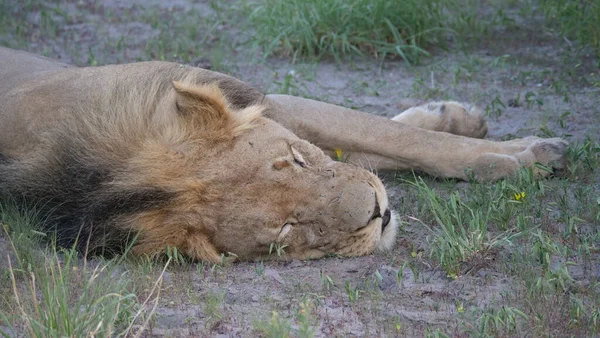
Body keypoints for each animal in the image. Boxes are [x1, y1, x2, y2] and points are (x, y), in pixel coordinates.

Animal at [0, 47, 568, 262]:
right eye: (286, 231)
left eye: (296, 160)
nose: (378, 213)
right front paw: (527, 157)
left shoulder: (267, 101)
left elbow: (396, 138)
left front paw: (527, 154)